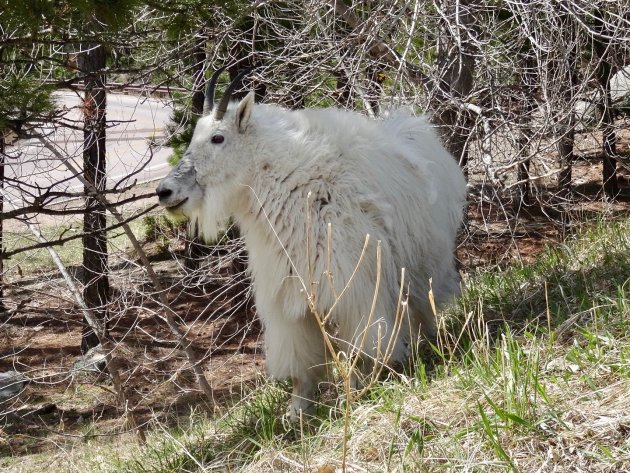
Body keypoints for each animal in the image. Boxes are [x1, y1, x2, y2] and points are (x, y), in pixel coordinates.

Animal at [156, 66, 466, 416]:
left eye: (218, 137)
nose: (164, 191)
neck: (289, 187)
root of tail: (420, 131)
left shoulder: (353, 289)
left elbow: (360, 346)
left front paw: (358, 391)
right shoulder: (289, 297)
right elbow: (301, 364)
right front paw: (297, 411)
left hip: (424, 265)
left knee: (422, 308)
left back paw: (427, 346)